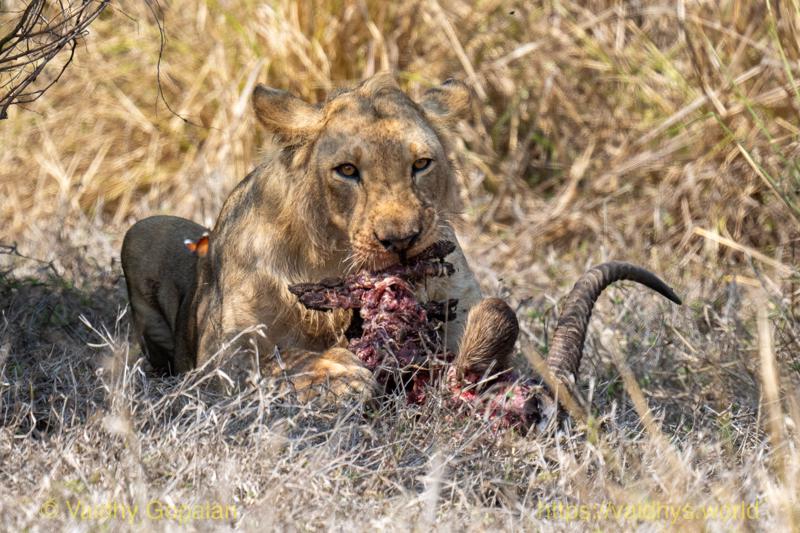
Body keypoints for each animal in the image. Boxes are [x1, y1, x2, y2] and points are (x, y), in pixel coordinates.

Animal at [122, 74, 512, 398]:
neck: (336, 263)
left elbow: (499, 310)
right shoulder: (219, 356)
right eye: (347, 170)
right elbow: (279, 360)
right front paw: (342, 375)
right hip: (141, 230)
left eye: (421, 165)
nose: (401, 241)